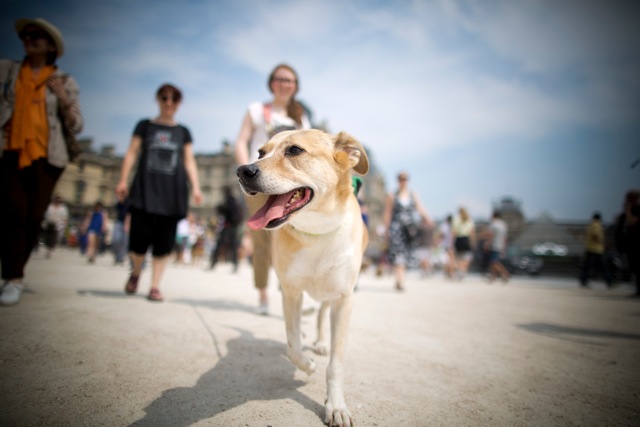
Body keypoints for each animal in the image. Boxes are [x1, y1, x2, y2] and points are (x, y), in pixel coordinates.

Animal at [236, 129, 368, 426]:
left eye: (295, 150)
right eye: (261, 152)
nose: (243, 170)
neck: (316, 233)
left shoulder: (344, 299)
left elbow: (336, 364)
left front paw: (336, 405)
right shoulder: (291, 291)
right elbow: (292, 345)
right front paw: (307, 365)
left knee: (321, 313)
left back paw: (320, 342)